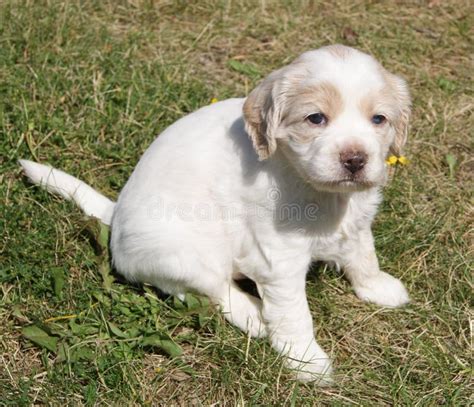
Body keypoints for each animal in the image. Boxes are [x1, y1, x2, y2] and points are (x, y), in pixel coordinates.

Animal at [19, 45, 412, 386]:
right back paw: (253, 314)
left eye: (379, 119)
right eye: (315, 118)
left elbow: (364, 255)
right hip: (188, 254)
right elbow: (294, 313)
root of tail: (115, 216)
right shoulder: (278, 257)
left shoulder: (357, 222)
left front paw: (377, 288)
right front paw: (307, 362)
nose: (355, 159)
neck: (323, 193)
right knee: (207, 291)